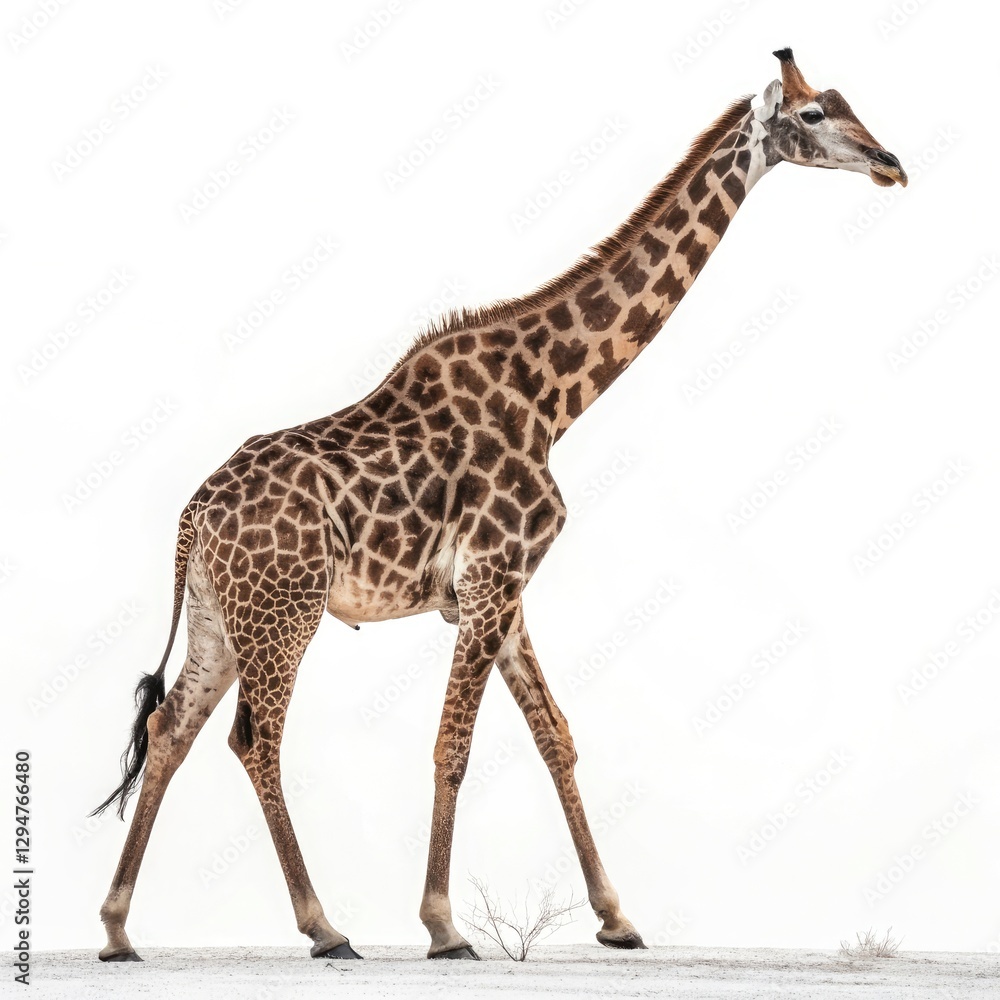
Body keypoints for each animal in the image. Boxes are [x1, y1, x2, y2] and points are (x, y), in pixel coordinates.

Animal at [93, 49, 906, 962]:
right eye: (811, 115)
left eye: (840, 102)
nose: (890, 164)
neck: (556, 397)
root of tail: (192, 517)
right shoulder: (492, 574)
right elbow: (455, 745)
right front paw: (443, 925)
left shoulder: (501, 590)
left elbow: (556, 735)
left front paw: (617, 919)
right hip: (286, 608)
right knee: (253, 737)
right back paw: (325, 926)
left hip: (219, 613)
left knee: (171, 729)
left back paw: (119, 928)